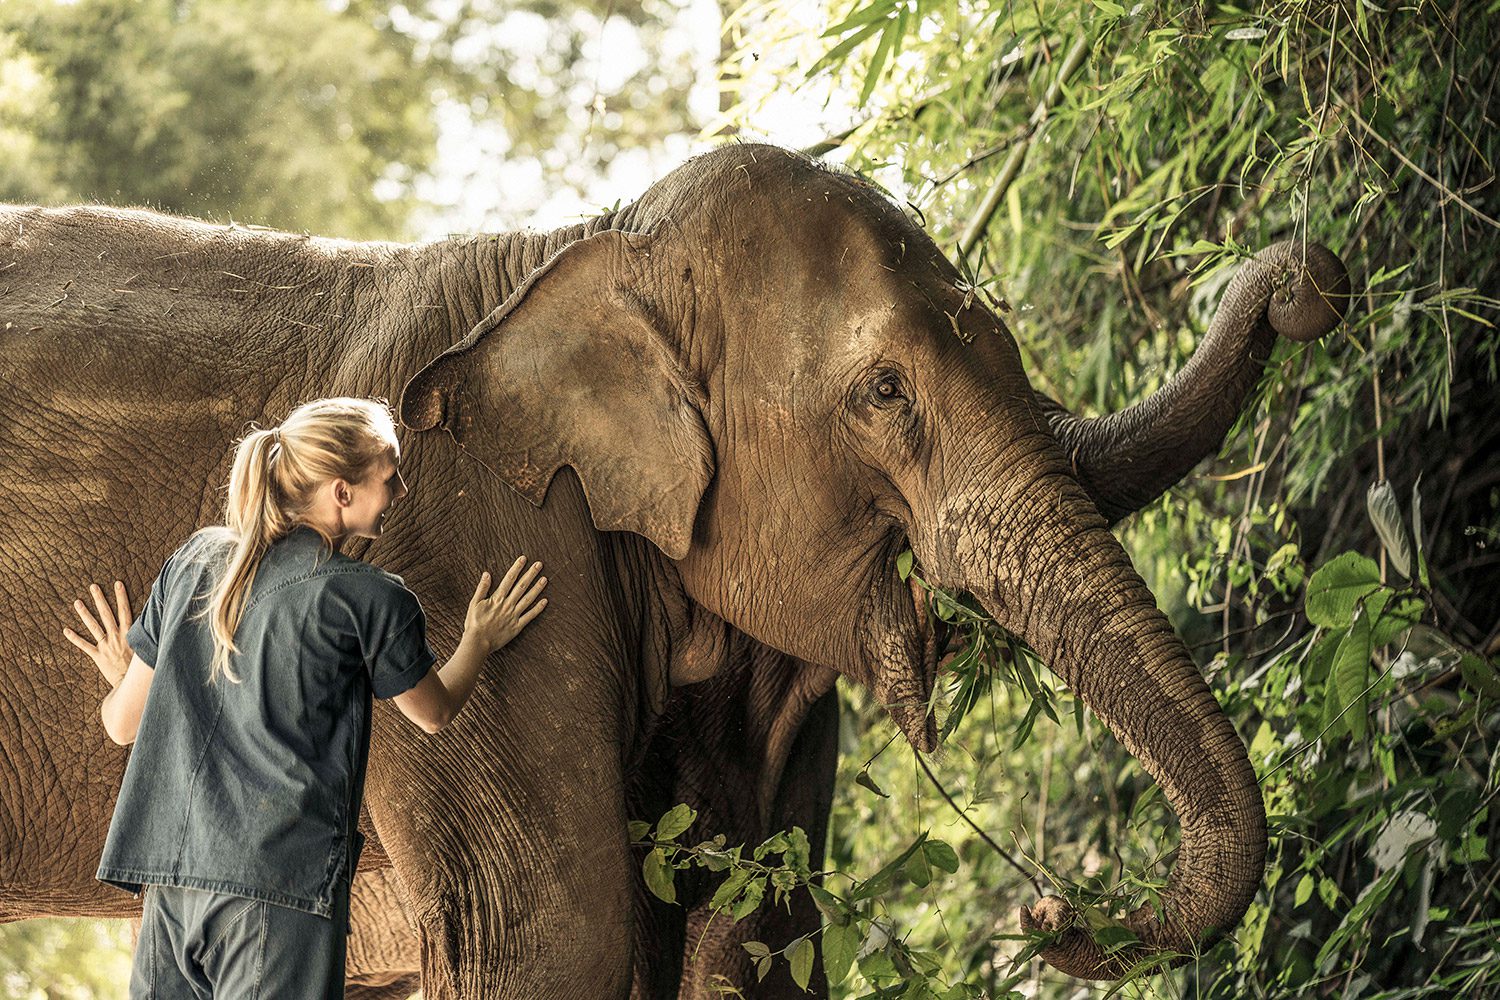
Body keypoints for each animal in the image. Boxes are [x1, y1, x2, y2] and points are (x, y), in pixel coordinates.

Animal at [0, 138, 1350, 995]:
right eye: (884, 392)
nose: (1049, 907)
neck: (583, 247)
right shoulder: (452, 546)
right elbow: (555, 938)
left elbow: (746, 938)